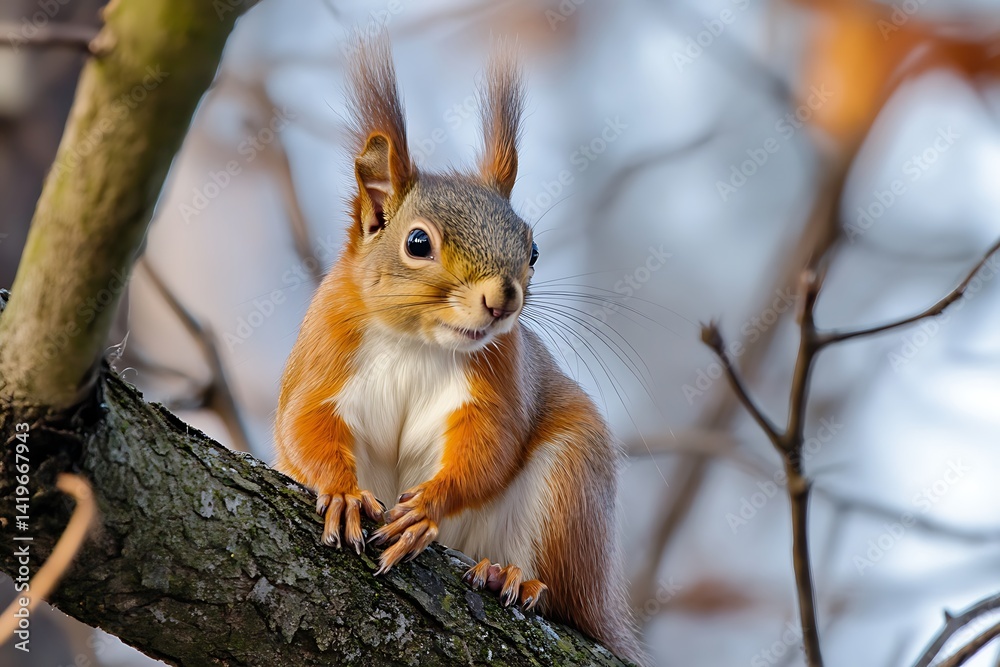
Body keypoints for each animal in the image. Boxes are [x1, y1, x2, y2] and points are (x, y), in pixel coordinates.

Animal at [273, 35, 647, 666]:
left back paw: (511, 576)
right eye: (417, 242)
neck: (415, 342)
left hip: (571, 485)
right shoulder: (324, 355)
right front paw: (343, 493)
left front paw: (426, 507)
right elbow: (303, 423)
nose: (502, 300)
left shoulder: (500, 376)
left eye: (533, 248)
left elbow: (489, 447)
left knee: (564, 598)